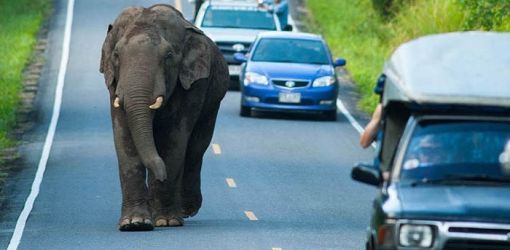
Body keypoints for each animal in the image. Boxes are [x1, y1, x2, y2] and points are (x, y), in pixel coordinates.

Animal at [98, 3, 229, 231]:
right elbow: (124, 139)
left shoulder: (192, 84)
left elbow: (174, 140)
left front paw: (166, 221)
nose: (161, 176)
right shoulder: (114, 84)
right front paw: (134, 224)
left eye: (168, 56)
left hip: (213, 103)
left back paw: (184, 210)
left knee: (195, 148)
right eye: (116, 55)